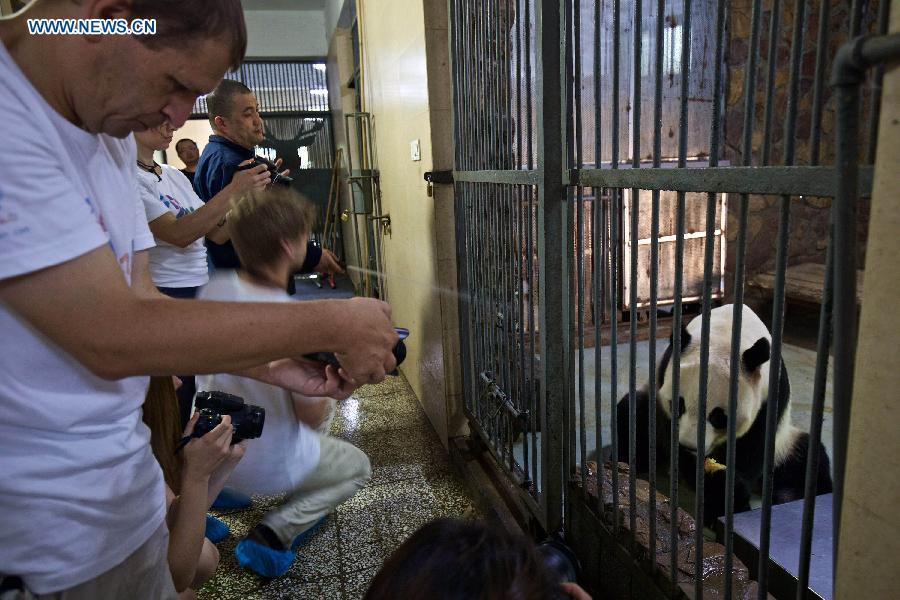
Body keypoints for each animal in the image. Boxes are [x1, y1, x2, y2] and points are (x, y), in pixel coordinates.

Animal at [616, 304, 832, 524]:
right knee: (634, 410)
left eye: (718, 416)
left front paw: (723, 494)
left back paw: (790, 495)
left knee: (806, 460)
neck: (728, 334)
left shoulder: (770, 396)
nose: (689, 446)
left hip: (785, 445)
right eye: (679, 405)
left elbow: (754, 447)